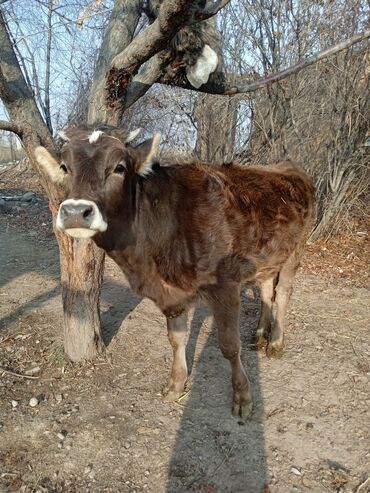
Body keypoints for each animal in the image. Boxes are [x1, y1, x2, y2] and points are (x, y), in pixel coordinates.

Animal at [34, 126, 314, 418]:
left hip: (297, 249)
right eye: (64, 167)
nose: (76, 212)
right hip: (269, 255)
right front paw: (176, 384)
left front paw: (243, 397)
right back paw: (260, 335)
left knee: (283, 293)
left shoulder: (225, 286)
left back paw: (275, 343)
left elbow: (229, 345)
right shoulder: (170, 293)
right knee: (267, 289)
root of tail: (286, 166)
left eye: (119, 167)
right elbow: (176, 338)